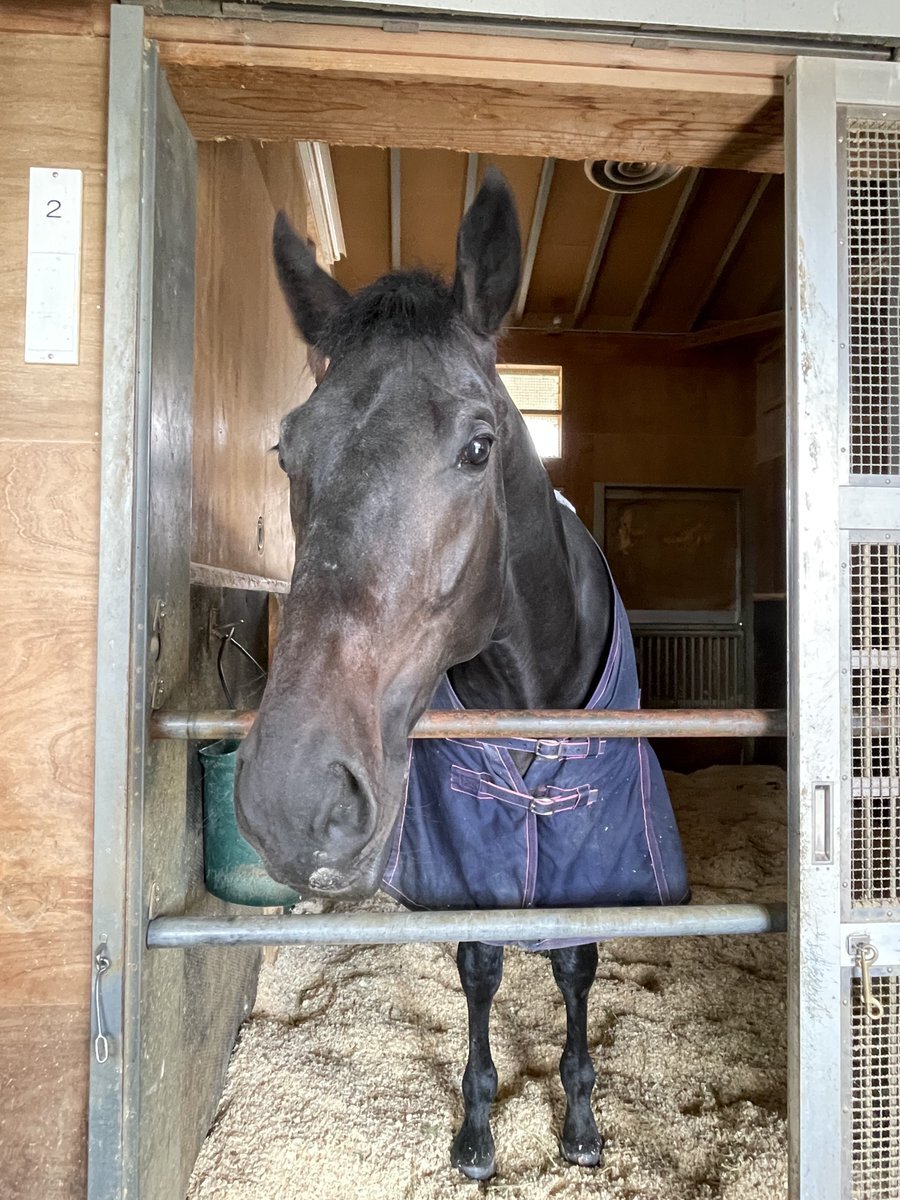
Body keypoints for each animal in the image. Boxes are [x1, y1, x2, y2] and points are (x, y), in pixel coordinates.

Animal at [234, 169, 689, 1180]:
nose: (292, 798)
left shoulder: (592, 848)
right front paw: (480, 1131)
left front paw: (580, 1123)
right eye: (288, 449)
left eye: (479, 446)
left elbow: (573, 964)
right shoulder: (467, 844)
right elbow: (481, 963)